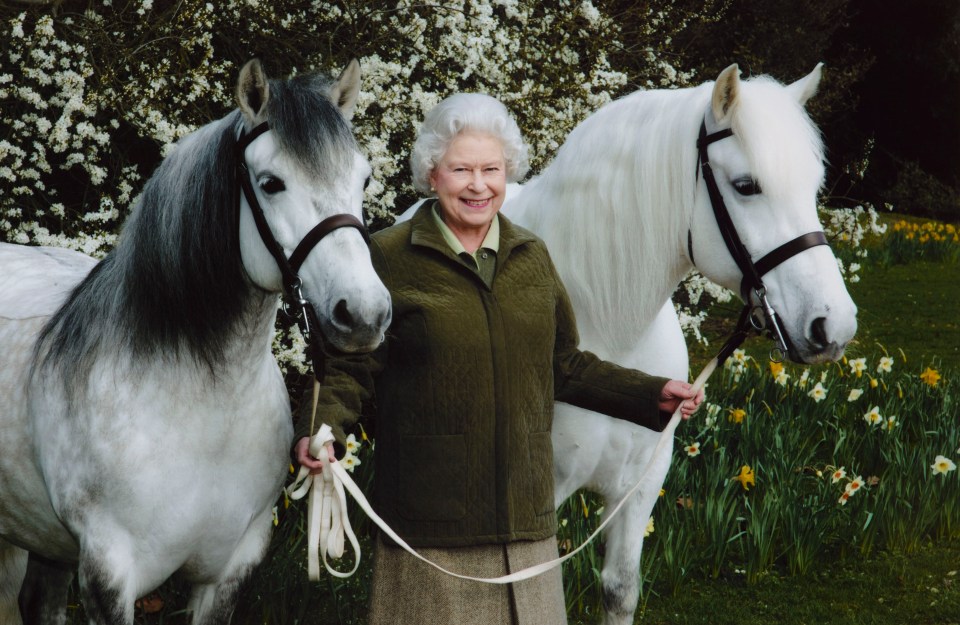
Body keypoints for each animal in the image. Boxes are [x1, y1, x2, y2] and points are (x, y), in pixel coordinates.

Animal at [0, 59, 390, 624]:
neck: (201, 407)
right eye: (271, 183)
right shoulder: (107, 579)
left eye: (364, 177)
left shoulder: (229, 573)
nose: (363, 314)